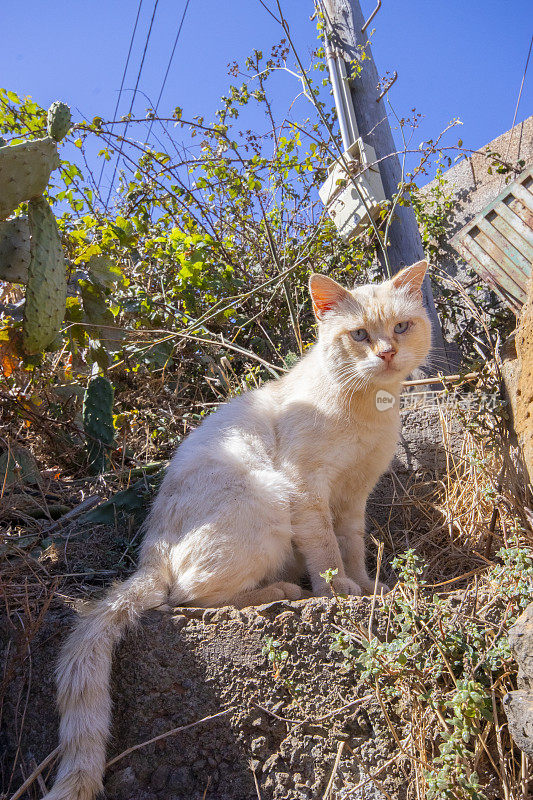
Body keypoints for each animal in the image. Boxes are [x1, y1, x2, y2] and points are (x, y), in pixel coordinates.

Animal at [43, 260, 430, 796]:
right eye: (359, 335)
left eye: (401, 327)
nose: (388, 352)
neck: (369, 407)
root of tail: (150, 545)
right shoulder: (307, 487)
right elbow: (327, 552)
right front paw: (338, 591)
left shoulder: (355, 497)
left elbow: (353, 547)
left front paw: (367, 587)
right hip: (266, 494)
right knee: (186, 596)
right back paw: (286, 590)